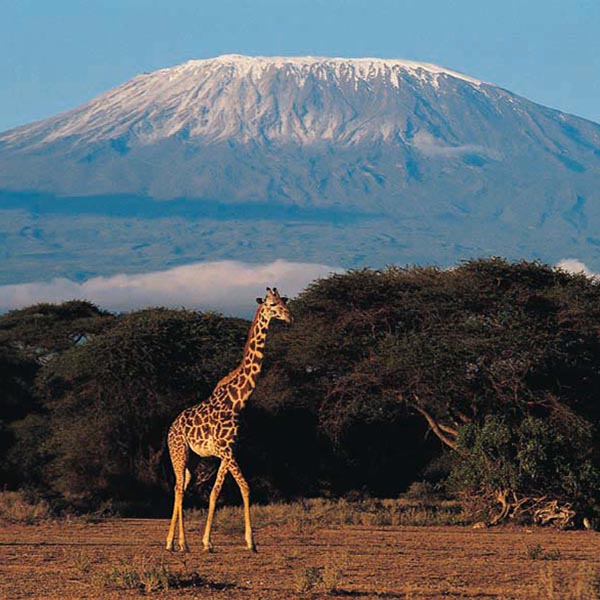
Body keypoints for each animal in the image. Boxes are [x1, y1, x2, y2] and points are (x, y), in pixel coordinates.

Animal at [166, 286, 292, 552]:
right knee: (178, 487)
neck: (238, 400)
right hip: (178, 451)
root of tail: (170, 428)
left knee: (182, 486)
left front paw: (207, 541)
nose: (289, 317)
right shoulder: (226, 451)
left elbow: (215, 492)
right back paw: (177, 543)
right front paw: (250, 542)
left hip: (194, 458)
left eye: (284, 302)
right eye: (272, 304)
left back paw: (177, 542)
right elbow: (245, 487)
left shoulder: (229, 451)